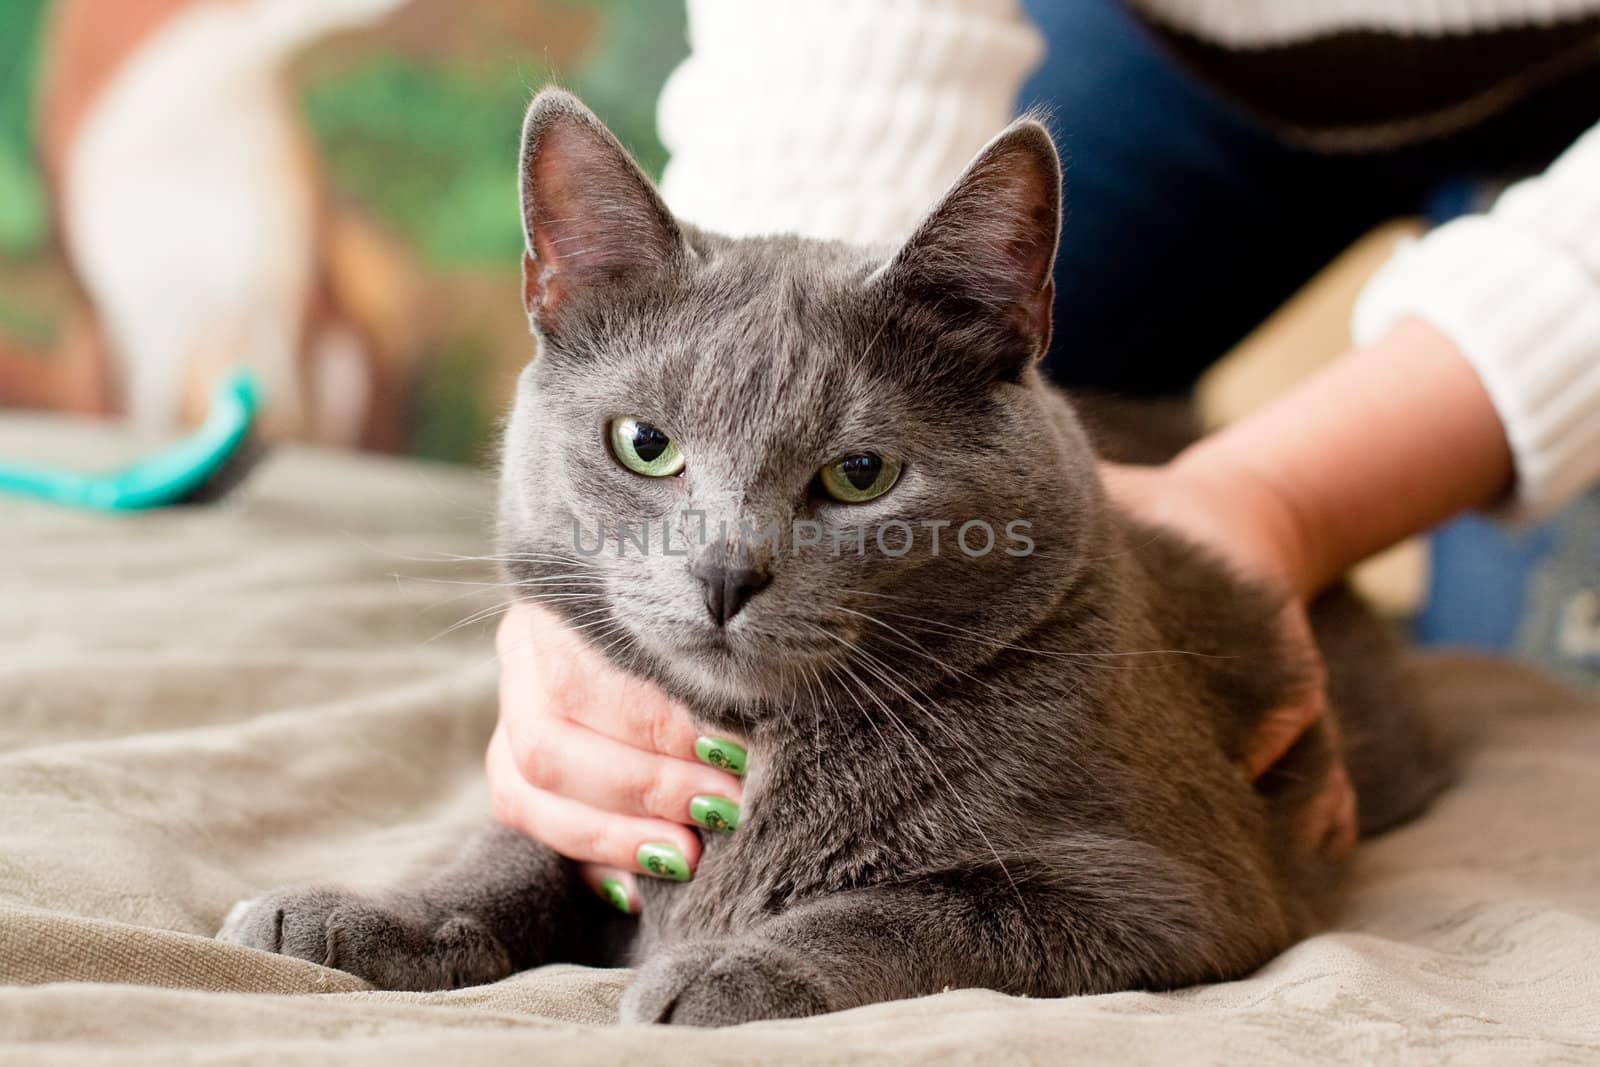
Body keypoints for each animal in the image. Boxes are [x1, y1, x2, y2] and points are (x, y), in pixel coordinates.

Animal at [219, 89, 1446, 1023]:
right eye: (645, 444)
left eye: (860, 473)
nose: (724, 572)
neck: (757, 745)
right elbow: (518, 846)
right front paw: (355, 911)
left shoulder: (1175, 886)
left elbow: (921, 907)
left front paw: (723, 968)